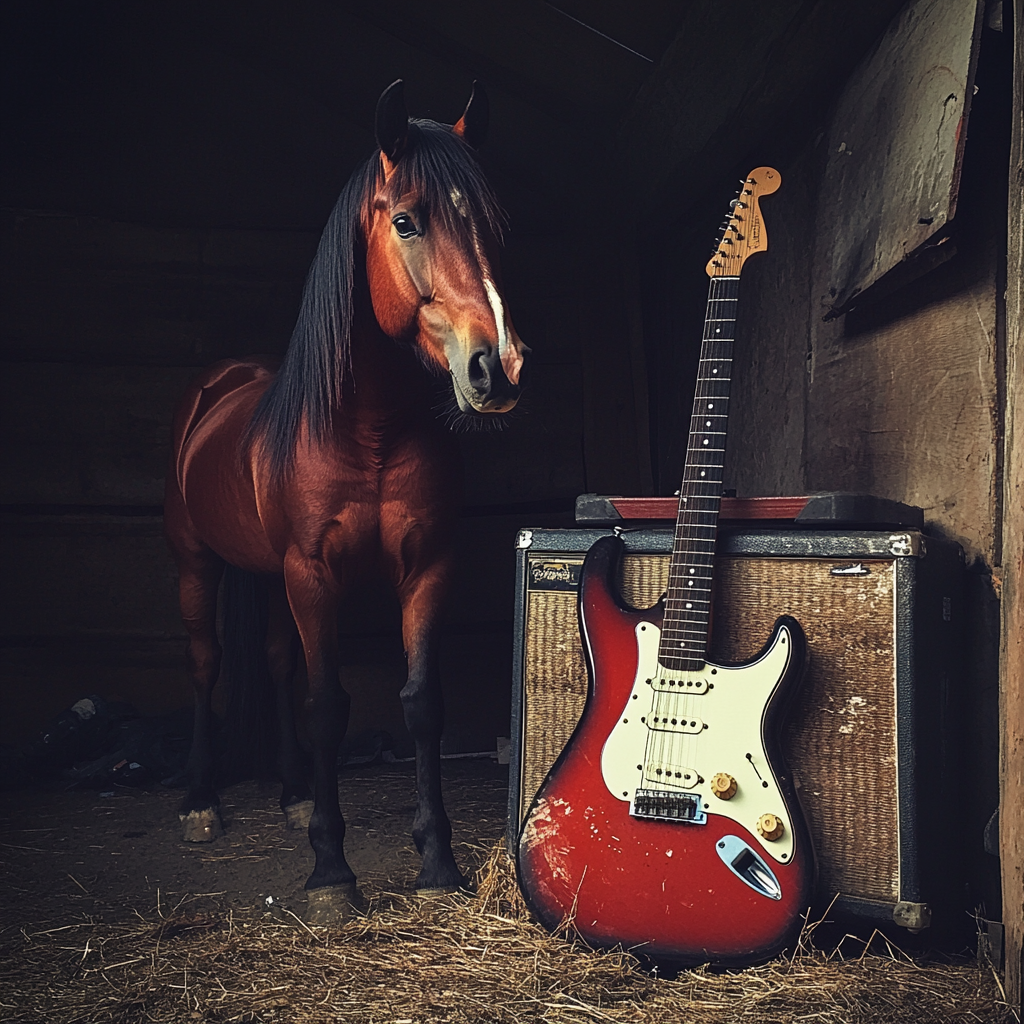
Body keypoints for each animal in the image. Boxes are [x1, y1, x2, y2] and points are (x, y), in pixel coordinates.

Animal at [161, 83, 528, 925]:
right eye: (407, 221)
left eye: (494, 224)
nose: (498, 367)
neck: (367, 428)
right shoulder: (312, 572)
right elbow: (327, 705)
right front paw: (331, 871)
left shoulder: (426, 565)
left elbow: (421, 704)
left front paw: (437, 862)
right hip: (199, 564)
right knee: (205, 663)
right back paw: (200, 800)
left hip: (267, 576)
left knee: (271, 660)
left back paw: (295, 792)